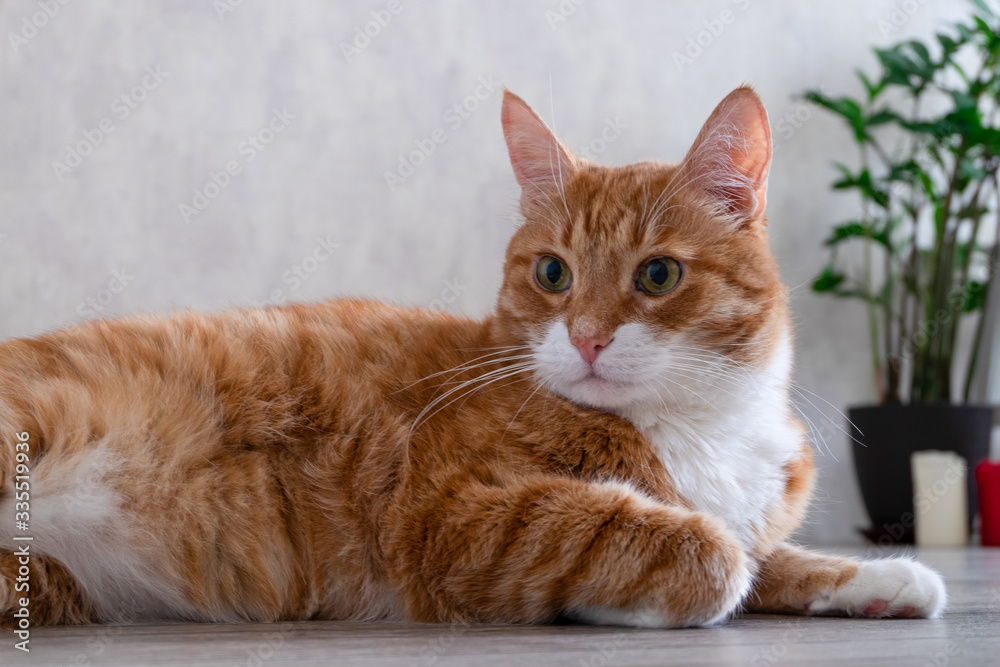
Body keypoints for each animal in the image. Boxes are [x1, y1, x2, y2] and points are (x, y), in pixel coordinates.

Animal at [0, 87, 940, 628]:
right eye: (554, 273)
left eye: (659, 274)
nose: (587, 336)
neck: (695, 425)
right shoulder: (454, 514)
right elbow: (704, 552)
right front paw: (657, 594)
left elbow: (769, 553)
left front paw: (879, 578)